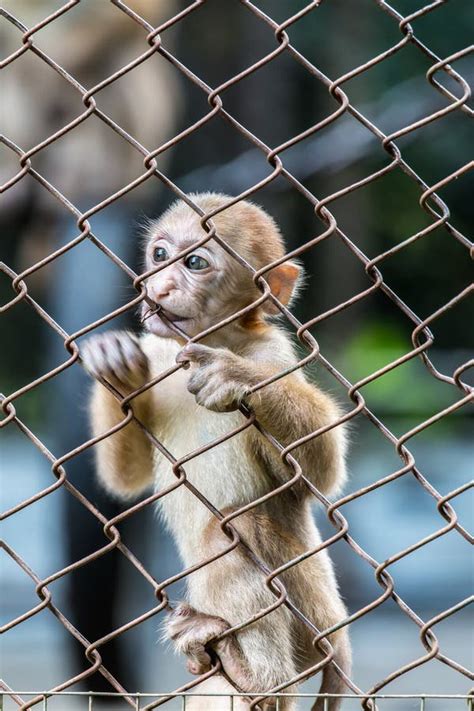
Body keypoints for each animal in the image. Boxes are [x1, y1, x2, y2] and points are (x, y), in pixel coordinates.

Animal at [81, 192, 350, 708]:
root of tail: (337, 631)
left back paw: (256, 679)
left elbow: (320, 475)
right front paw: (115, 369)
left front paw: (237, 377)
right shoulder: (159, 350)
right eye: (160, 254)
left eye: (196, 263)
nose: (161, 286)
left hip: (311, 608)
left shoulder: (272, 354)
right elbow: (127, 479)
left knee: (234, 530)